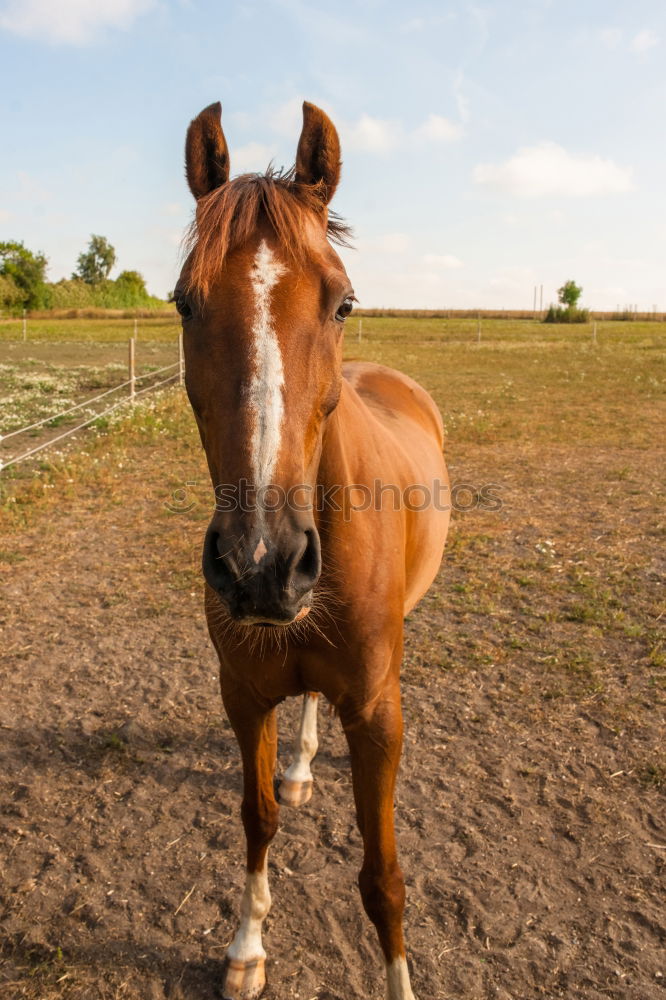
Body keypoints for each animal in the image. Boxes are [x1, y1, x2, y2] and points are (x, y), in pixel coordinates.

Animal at [174, 97, 448, 996]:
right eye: (184, 303)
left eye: (343, 303)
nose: (260, 567)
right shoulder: (243, 696)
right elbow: (255, 817)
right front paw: (246, 946)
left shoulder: (377, 716)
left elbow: (383, 879)